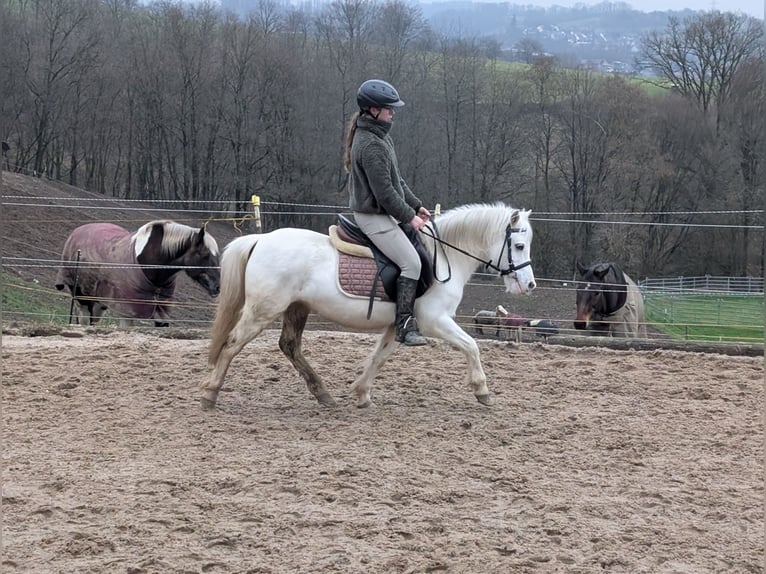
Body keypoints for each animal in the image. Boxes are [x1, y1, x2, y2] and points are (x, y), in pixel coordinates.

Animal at [56, 220, 221, 327]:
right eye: (205, 255)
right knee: (84, 320)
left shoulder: (162, 313)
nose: (218, 287)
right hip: (81, 296)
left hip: (99, 302)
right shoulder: (127, 311)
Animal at [203, 202, 536, 410]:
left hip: (297, 307)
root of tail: (259, 239)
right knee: (231, 344)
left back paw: (323, 394)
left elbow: (379, 357)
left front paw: (361, 393)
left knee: (289, 346)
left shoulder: (400, 324)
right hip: (263, 310)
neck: (443, 256)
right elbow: (472, 346)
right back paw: (210, 393)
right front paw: (482, 390)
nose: (529, 285)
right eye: (519, 246)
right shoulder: (435, 320)